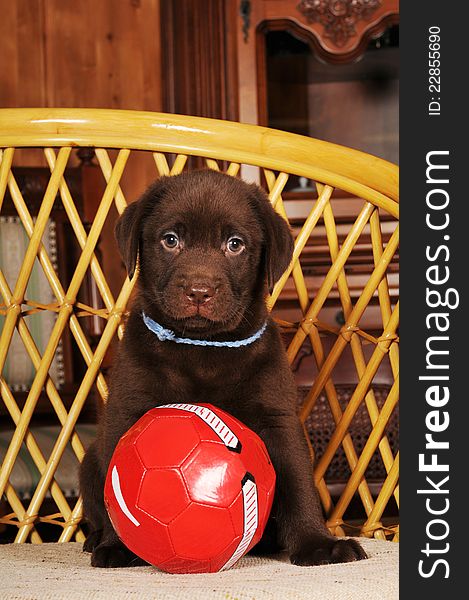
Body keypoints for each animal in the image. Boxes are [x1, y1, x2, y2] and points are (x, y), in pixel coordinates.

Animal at [79, 168, 366, 568]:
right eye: (170, 240)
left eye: (235, 244)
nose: (200, 291)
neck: (204, 348)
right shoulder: (127, 411)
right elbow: (113, 485)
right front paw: (118, 545)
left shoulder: (278, 419)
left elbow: (298, 484)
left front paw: (317, 544)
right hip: (87, 461)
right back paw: (94, 538)